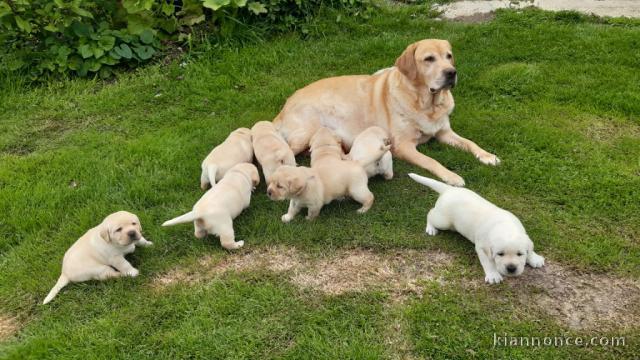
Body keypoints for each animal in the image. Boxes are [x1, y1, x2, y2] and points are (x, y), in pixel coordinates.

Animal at [276, 38, 500, 186]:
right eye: (429, 59)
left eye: (449, 56)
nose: (451, 73)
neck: (426, 103)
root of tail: (285, 104)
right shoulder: (404, 146)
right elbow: (431, 160)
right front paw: (451, 176)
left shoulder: (444, 132)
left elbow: (470, 142)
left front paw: (487, 155)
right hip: (305, 133)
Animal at [410, 172, 544, 284]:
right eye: (500, 254)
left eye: (520, 254)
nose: (511, 268)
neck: (505, 226)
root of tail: (449, 189)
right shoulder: (481, 247)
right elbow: (488, 262)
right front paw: (493, 275)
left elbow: (530, 248)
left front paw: (535, 258)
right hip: (443, 220)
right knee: (430, 213)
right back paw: (430, 228)